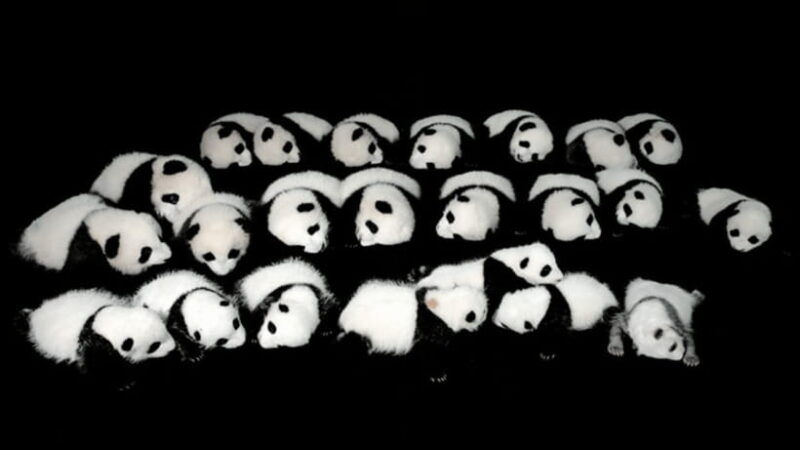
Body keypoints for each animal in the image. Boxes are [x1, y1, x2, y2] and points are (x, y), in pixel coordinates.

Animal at [23, 289, 175, 377]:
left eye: (166, 330)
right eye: (155, 346)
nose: (172, 349)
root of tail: (35, 315)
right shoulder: (94, 344)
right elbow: (99, 365)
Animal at [337, 279, 488, 382]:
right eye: (471, 316)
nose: (485, 311)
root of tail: (345, 315)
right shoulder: (426, 329)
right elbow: (428, 353)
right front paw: (438, 375)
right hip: (361, 333)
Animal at [489, 273, 618, 360]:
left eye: (504, 325)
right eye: (499, 306)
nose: (493, 320)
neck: (537, 302)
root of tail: (609, 294)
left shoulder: (556, 315)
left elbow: (557, 332)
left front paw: (547, 353)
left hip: (605, 308)